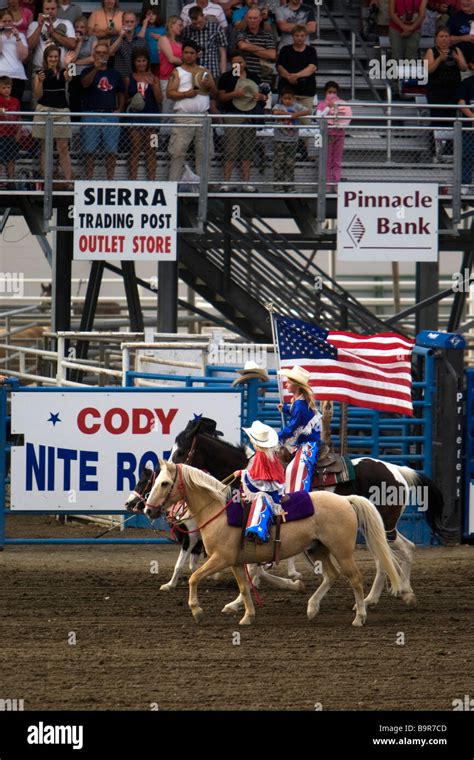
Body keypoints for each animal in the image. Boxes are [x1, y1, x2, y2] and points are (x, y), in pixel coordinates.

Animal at [145, 460, 404, 628]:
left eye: (165, 483)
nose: (148, 509)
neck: (218, 511)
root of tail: (345, 500)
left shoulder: (221, 558)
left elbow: (193, 578)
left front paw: (197, 611)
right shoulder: (235, 562)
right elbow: (244, 587)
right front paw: (247, 616)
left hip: (342, 551)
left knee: (356, 579)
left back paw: (360, 616)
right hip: (317, 548)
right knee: (331, 575)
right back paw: (312, 607)